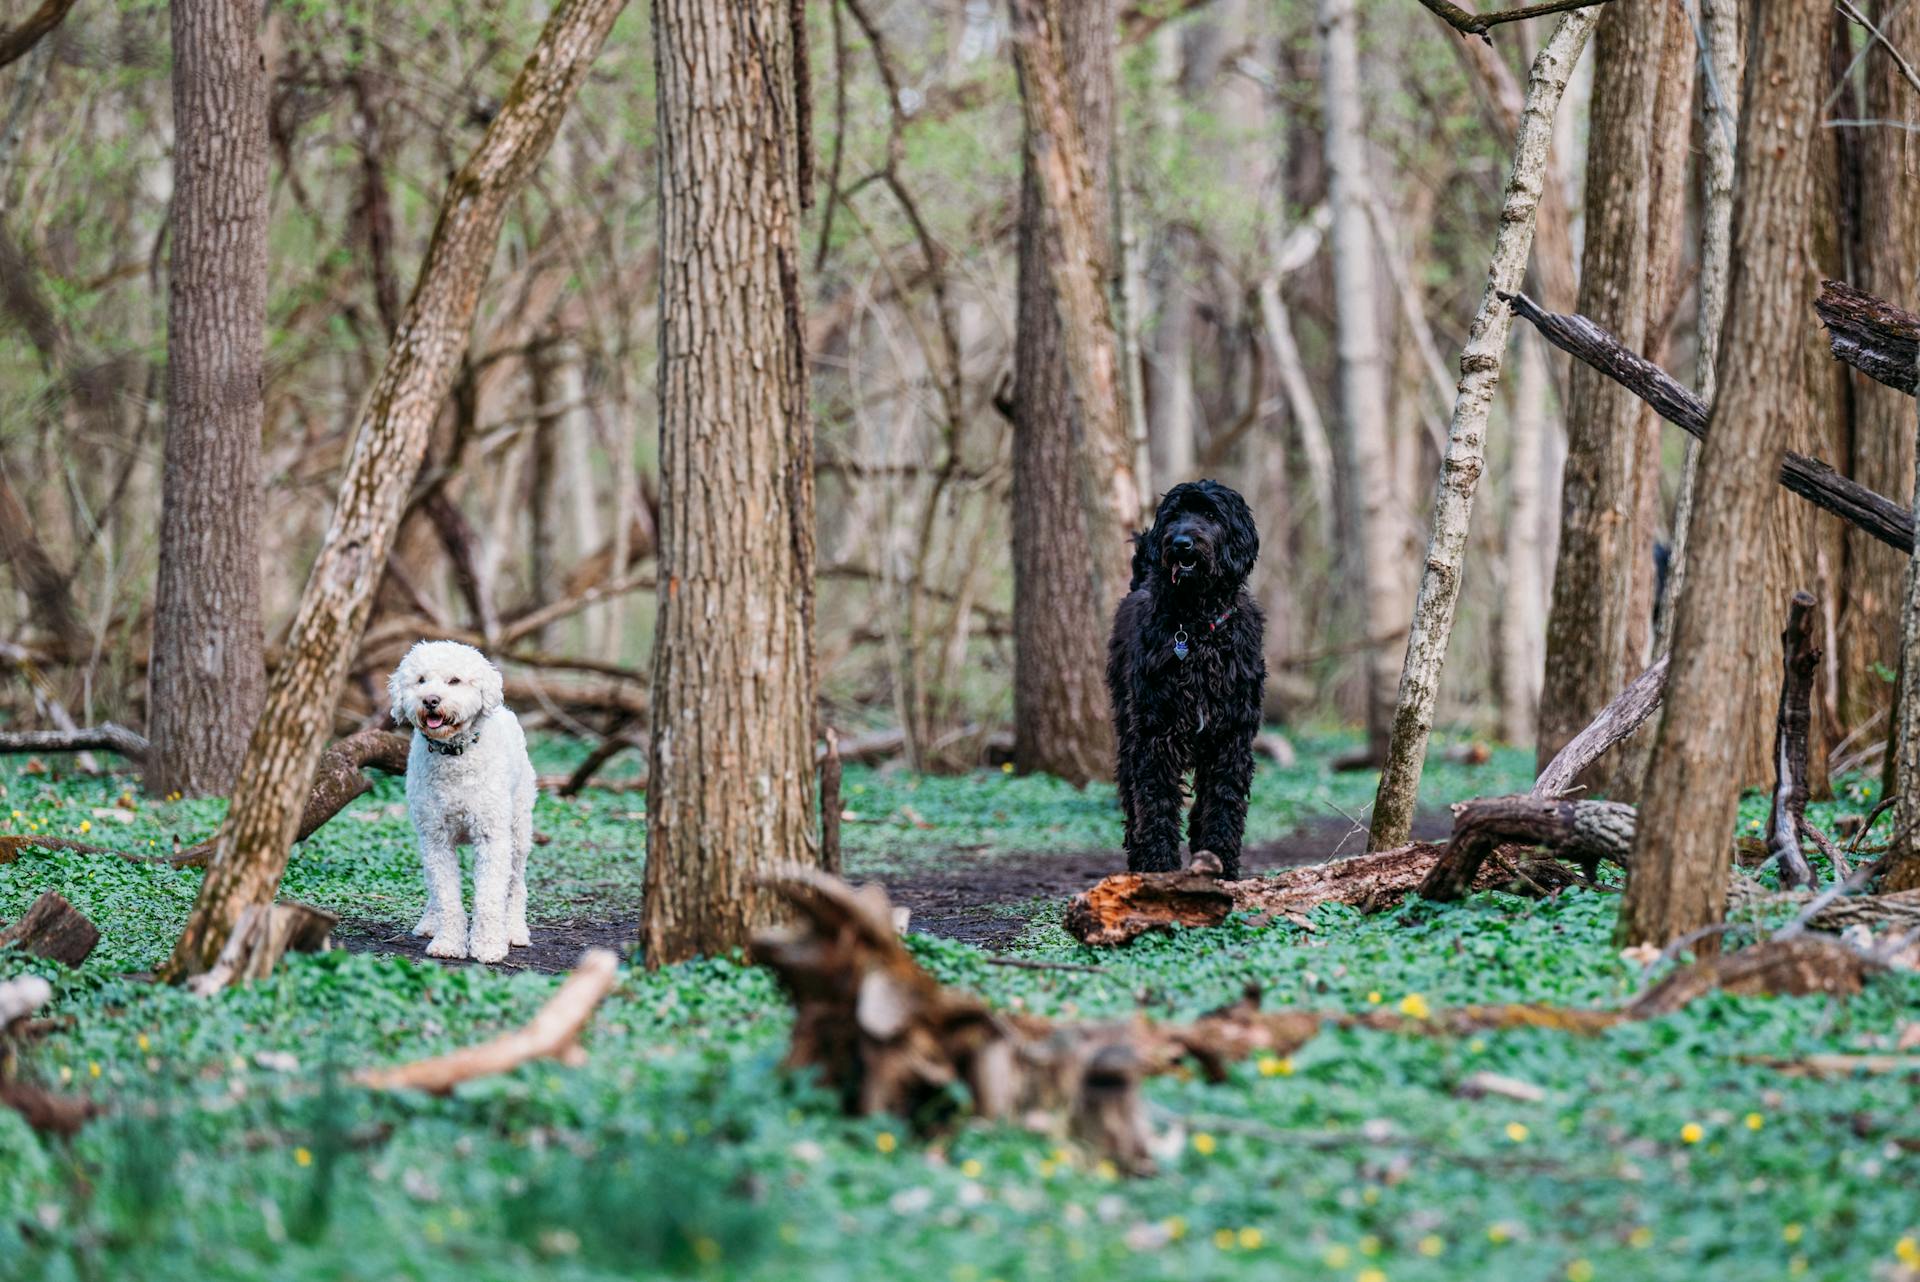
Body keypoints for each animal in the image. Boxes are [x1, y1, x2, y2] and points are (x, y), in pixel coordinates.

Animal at [384, 641, 533, 959]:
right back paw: (430, 922)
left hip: (518, 830)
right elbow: (446, 895)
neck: (453, 753)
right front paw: (448, 943)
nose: (430, 700)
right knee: (433, 887)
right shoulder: (435, 837)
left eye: (454, 680)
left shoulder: (492, 836)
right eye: (421, 680)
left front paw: (488, 945)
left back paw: (514, 930)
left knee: (516, 884)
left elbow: (489, 896)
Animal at [1105, 475, 1267, 875]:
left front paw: (1223, 865)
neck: (1197, 627)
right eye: (1175, 515)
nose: (1181, 543)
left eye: (1210, 515)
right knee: (1131, 795)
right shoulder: (1154, 735)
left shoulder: (1230, 736)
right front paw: (1160, 868)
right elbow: (1155, 803)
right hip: (1127, 727)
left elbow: (1223, 802)